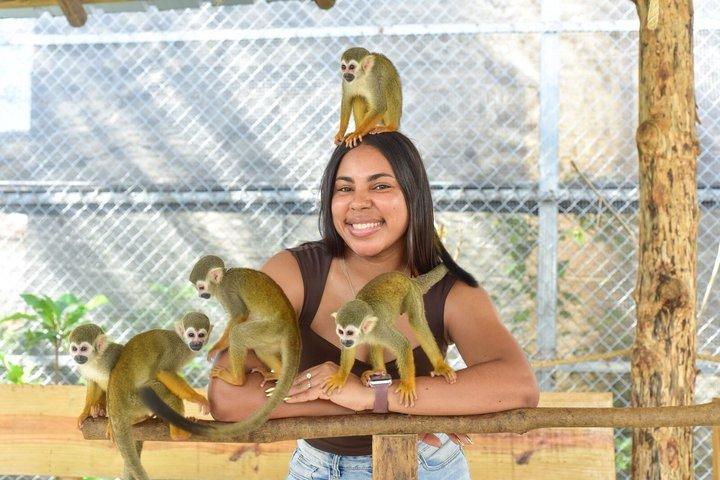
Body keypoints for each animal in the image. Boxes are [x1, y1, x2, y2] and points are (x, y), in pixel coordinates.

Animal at [106, 312, 212, 480]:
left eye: (201, 335)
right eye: (191, 335)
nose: (196, 343)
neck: (182, 342)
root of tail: (116, 398)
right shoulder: (176, 351)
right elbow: (164, 371)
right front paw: (197, 398)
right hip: (135, 400)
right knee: (167, 393)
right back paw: (178, 435)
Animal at [138, 254, 301, 440]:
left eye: (201, 287)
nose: (201, 294)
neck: (223, 279)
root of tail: (292, 325)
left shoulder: (226, 292)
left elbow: (240, 315)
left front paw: (216, 347)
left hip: (272, 328)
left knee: (238, 333)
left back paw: (237, 379)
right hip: (271, 336)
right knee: (261, 349)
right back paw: (277, 373)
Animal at [322, 263, 457, 407]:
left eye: (350, 332)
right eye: (340, 331)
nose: (343, 341)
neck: (366, 333)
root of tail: (410, 279)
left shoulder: (380, 329)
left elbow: (403, 344)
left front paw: (407, 385)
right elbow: (350, 350)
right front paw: (340, 377)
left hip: (412, 295)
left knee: (416, 321)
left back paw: (440, 366)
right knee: (376, 342)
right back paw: (378, 370)